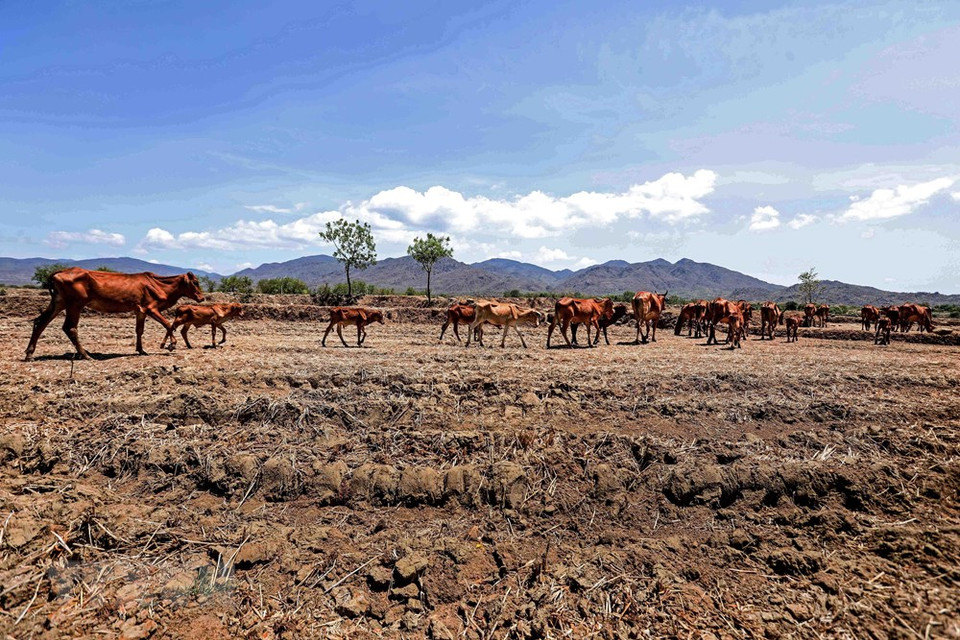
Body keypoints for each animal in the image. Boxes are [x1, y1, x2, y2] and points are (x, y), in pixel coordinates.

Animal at [24, 268, 204, 361]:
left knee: (40, 322)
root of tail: (57, 273)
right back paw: (86, 355)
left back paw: (29, 354)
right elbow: (168, 324)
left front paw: (141, 350)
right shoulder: (151, 309)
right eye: (195, 282)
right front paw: (170, 344)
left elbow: (139, 330)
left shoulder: (140, 311)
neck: (160, 284)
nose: (201, 298)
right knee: (70, 328)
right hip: (75, 305)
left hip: (59, 303)